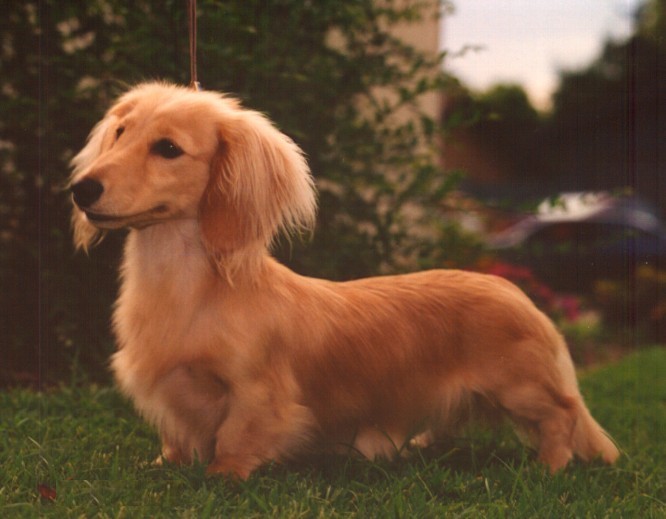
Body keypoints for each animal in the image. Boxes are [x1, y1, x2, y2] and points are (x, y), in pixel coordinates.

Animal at [68, 82, 616, 480]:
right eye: (120, 133)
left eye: (168, 148)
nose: (81, 189)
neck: (186, 289)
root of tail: (518, 293)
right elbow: (176, 439)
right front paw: (165, 464)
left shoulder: (257, 392)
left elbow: (238, 437)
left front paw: (223, 475)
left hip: (521, 387)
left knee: (563, 414)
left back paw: (550, 467)